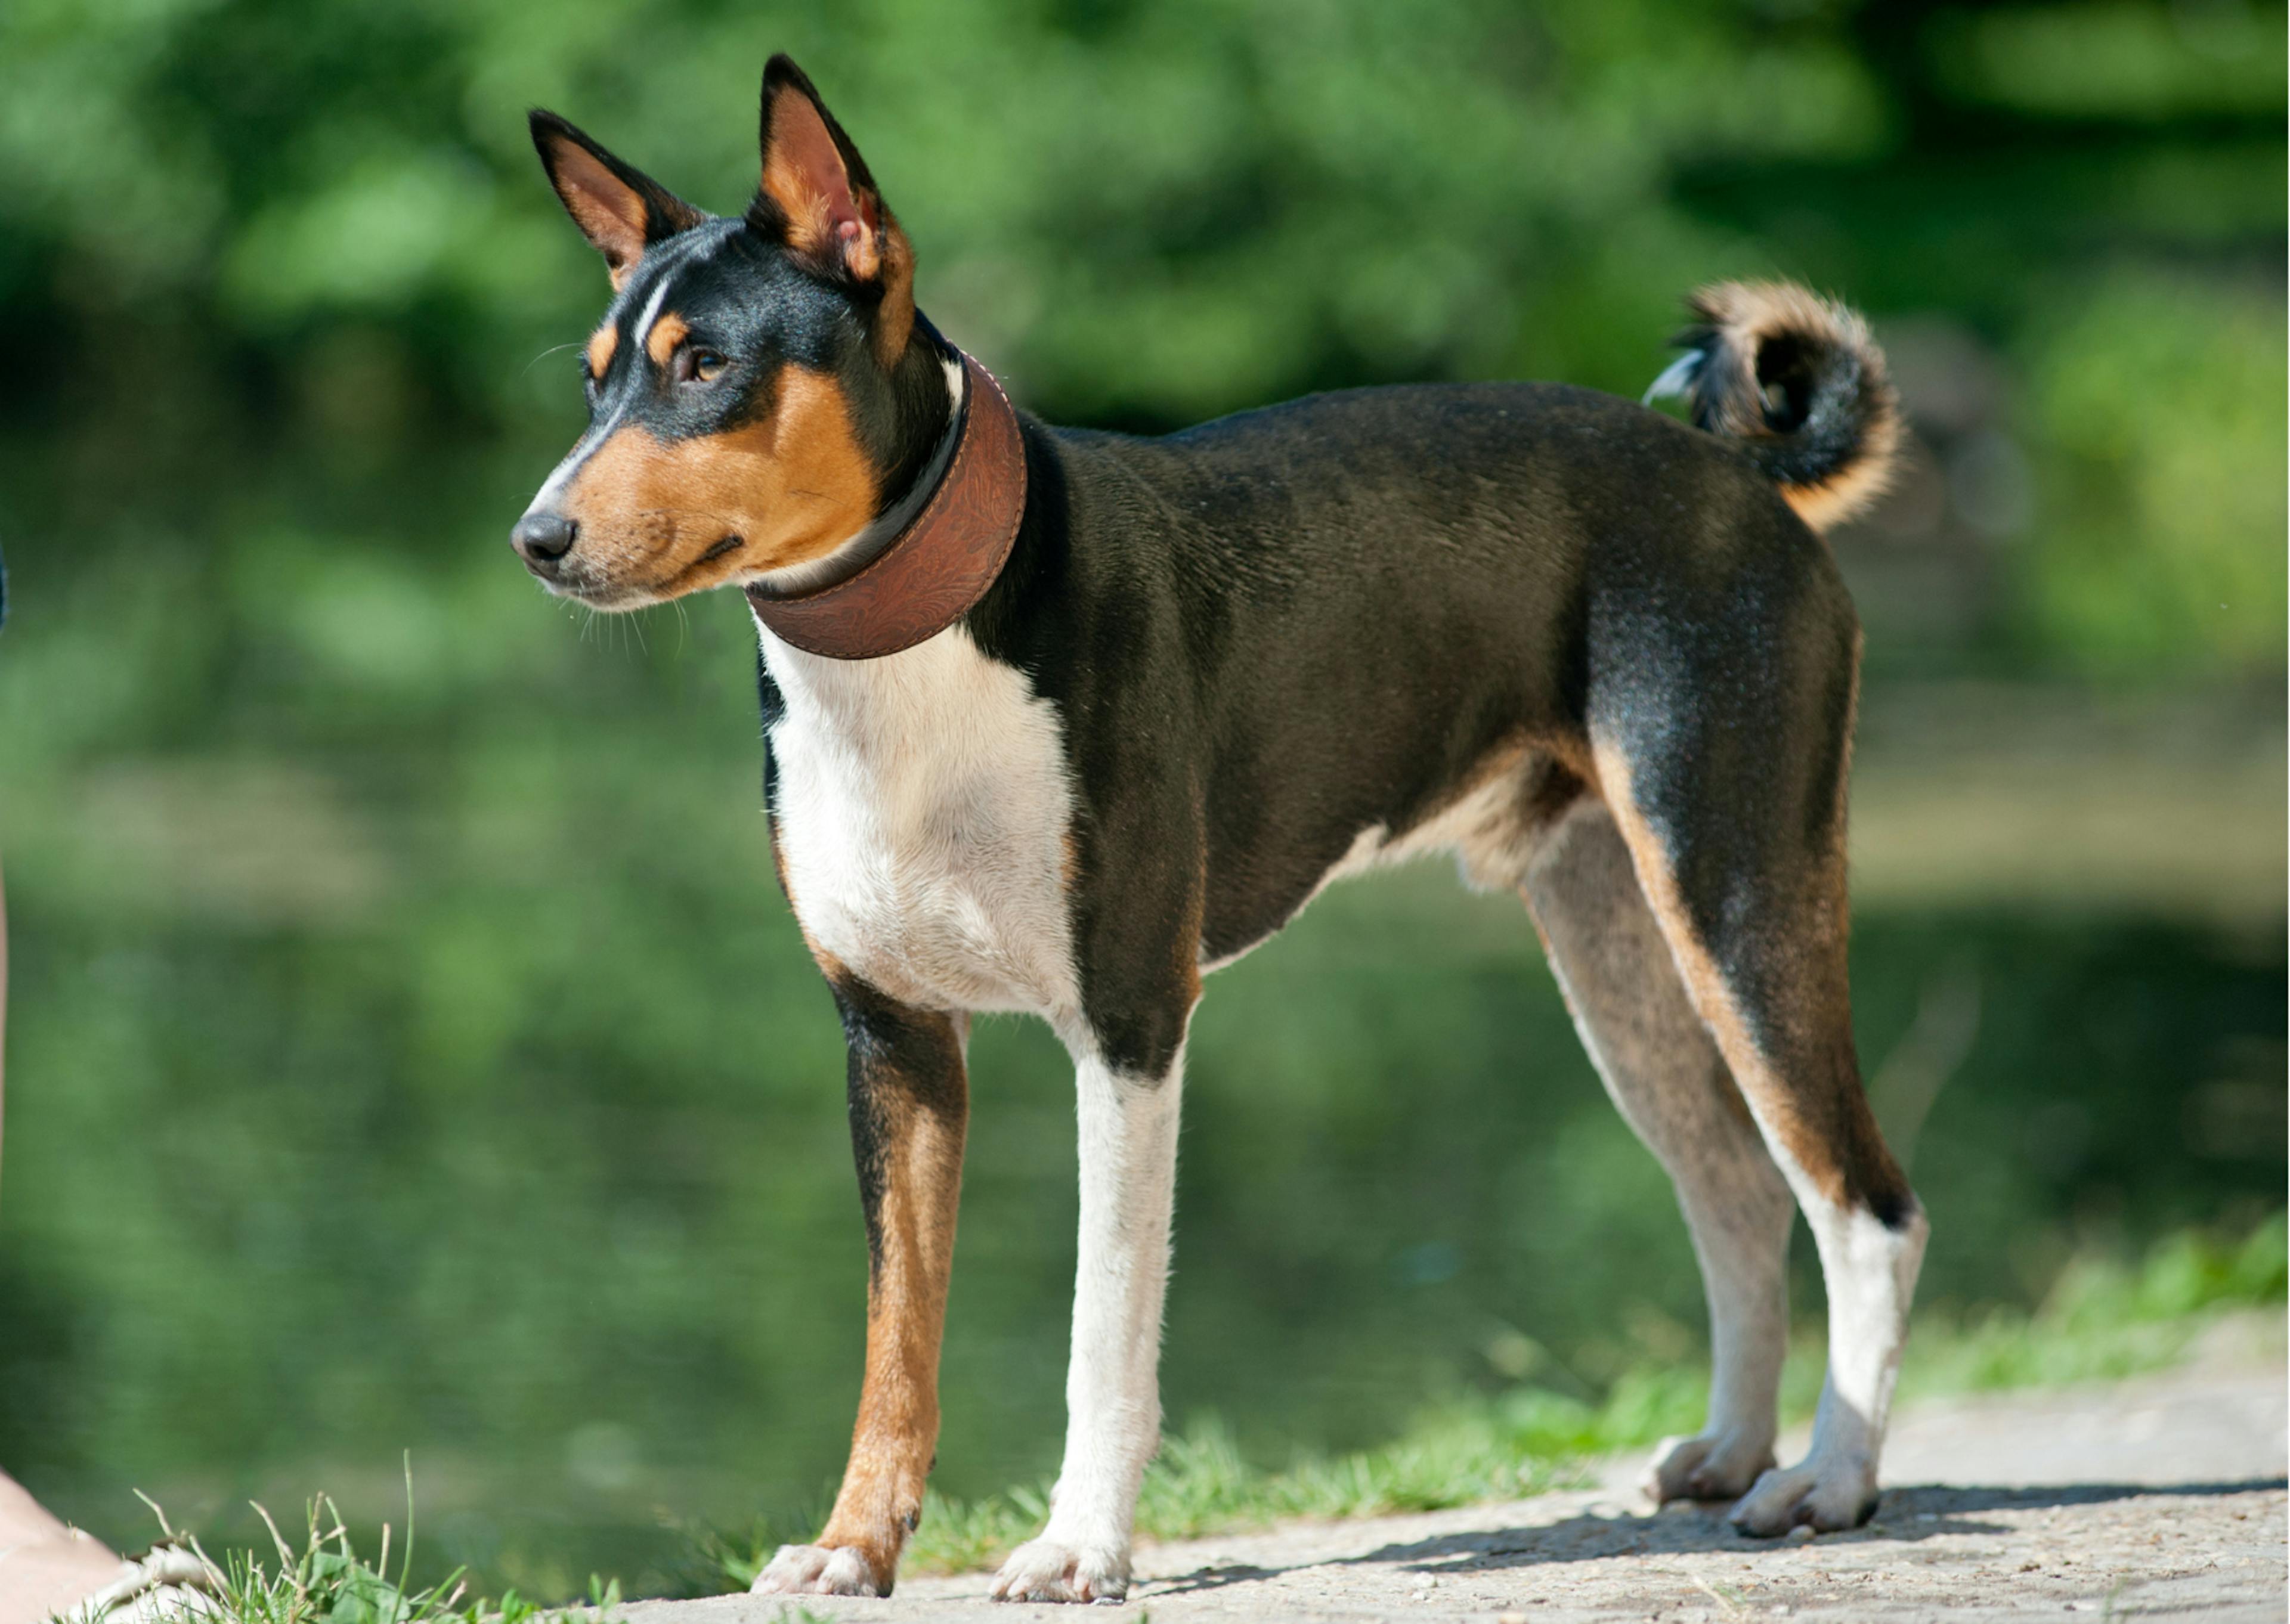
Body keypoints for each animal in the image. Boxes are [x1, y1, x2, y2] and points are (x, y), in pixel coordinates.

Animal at [510, 54, 1923, 1612]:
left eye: (706, 366)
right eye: (595, 376)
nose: (536, 537)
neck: (914, 660)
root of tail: (1735, 477)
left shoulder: (1128, 1026)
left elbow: (1102, 1332)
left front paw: (1078, 1544)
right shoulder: (892, 1039)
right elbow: (897, 1345)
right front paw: (853, 1546)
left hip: (1736, 902)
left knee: (1864, 1205)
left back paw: (1831, 1478)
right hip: (1622, 955)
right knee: (1737, 1193)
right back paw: (1734, 1447)